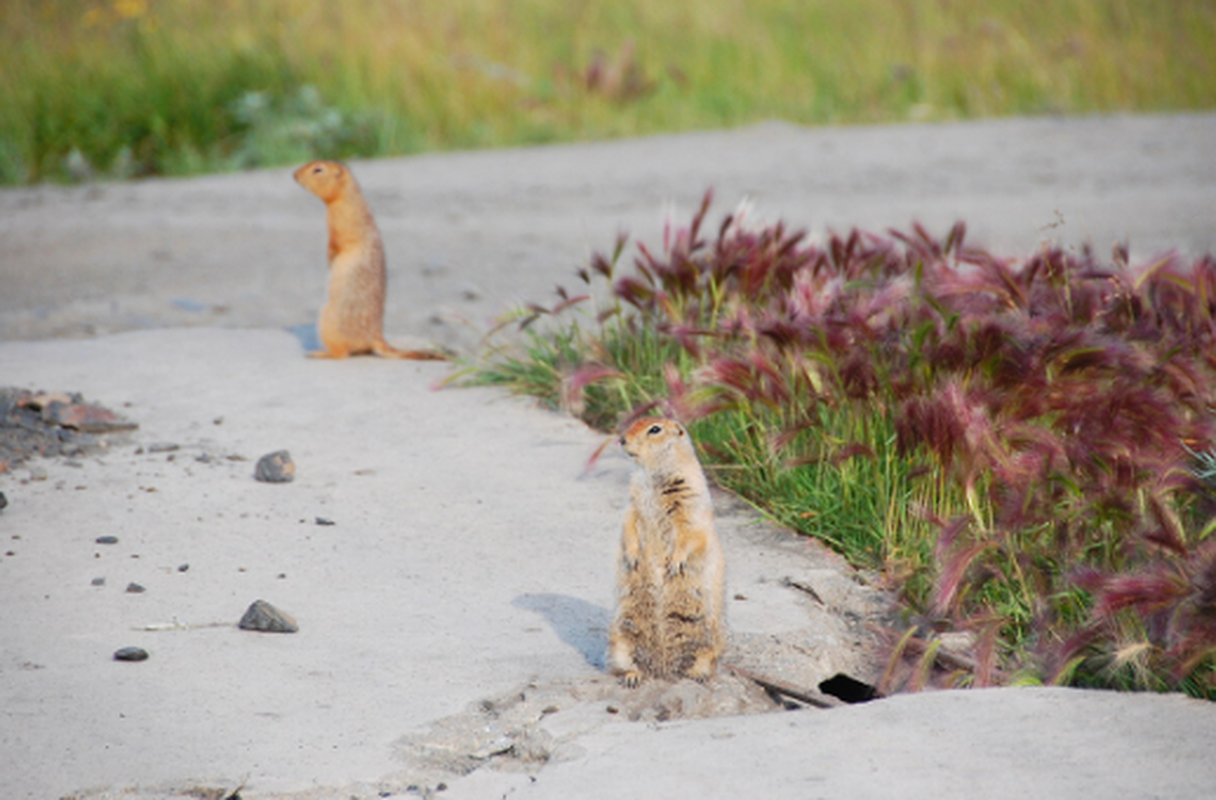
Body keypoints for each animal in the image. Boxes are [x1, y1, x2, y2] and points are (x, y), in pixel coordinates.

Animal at [294, 159, 447, 357]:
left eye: (318, 169)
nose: (294, 174)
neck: (346, 197)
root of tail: (376, 336)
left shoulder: (340, 224)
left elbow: (335, 245)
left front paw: (330, 259)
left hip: (328, 319)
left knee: (341, 353)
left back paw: (320, 353)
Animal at [605, 413, 719, 680]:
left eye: (654, 429)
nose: (621, 439)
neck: (654, 475)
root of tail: (662, 668)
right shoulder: (633, 502)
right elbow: (629, 523)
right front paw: (633, 557)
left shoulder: (691, 502)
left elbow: (691, 534)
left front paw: (675, 563)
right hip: (621, 637)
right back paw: (633, 676)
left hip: (706, 640)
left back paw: (697, 675)